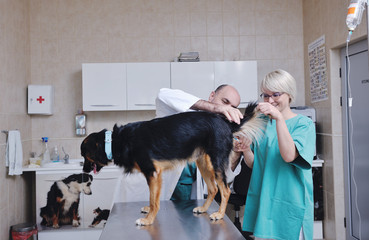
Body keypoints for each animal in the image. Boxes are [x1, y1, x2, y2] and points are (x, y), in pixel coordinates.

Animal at [80, 102, 266, 226]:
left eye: (84, 155)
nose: (83, 171)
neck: (116, 140)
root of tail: (226, 123)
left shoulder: (152, 173)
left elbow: (154, 200)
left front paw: (148, 220)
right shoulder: (154, 175)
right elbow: (153, 197)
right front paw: (149, 212)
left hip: (216, 163)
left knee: (225, 190)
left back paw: (219, 214)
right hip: (203, 163)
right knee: (213, 189)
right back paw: (203, 208)